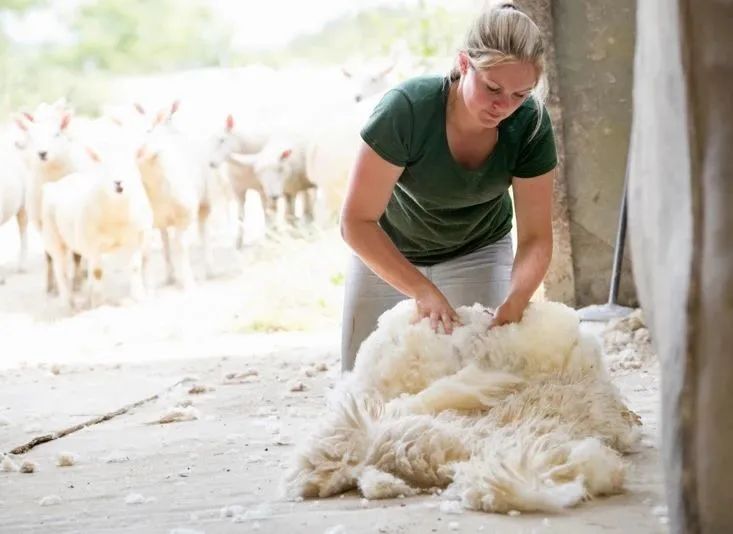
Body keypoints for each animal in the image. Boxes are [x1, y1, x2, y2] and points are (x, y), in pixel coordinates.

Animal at [40, 143, 153, 310]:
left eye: (131, 166)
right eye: (104, 167)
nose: (118, 182)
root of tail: (57, 184)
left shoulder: (137, 238)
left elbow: (135, 267)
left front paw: (139, 297)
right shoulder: (93, 245)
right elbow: (98, 272)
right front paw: (99, 304)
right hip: (53, 238)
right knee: (61, 271)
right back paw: (69, 304)